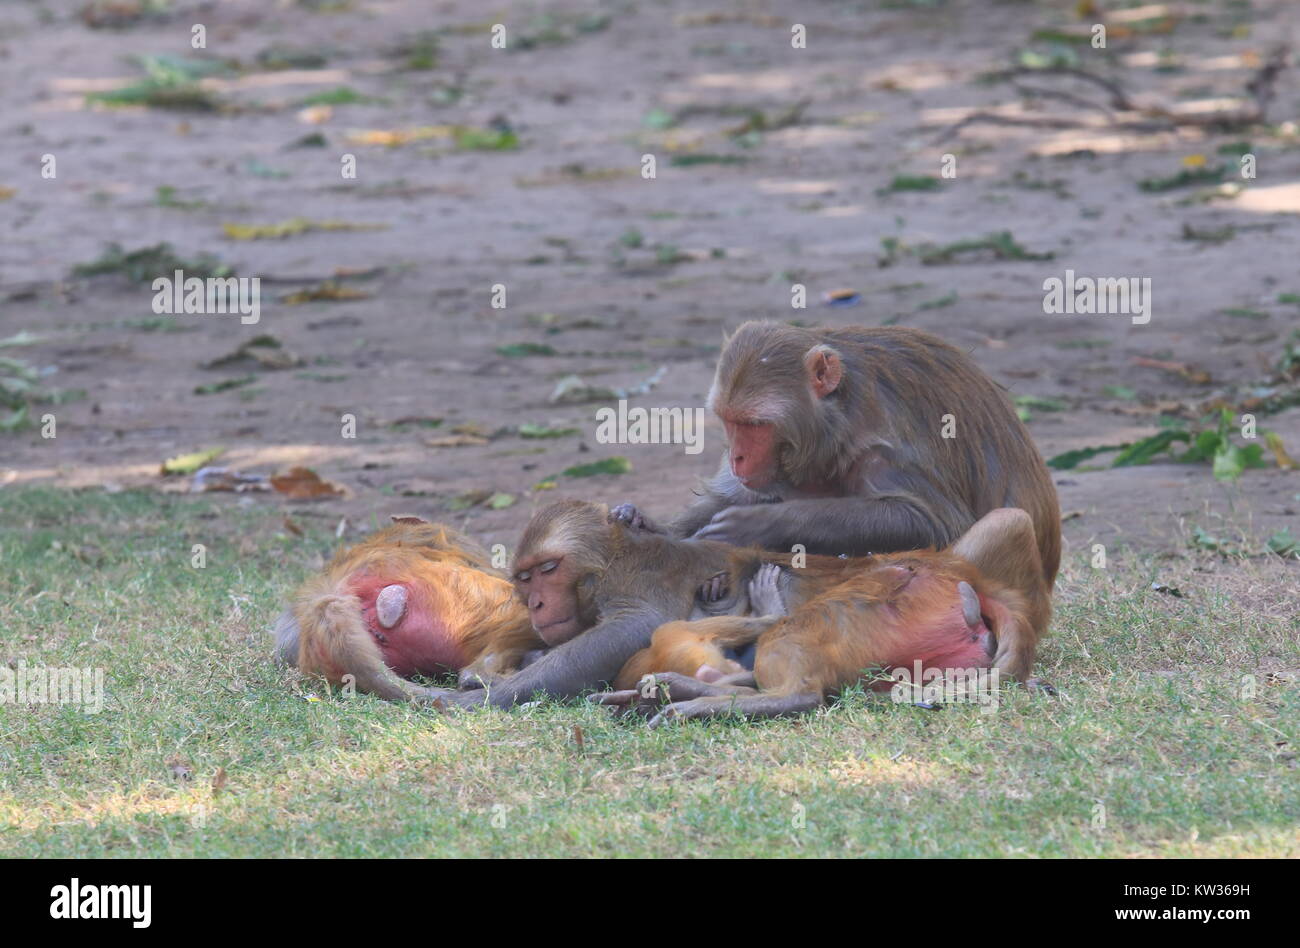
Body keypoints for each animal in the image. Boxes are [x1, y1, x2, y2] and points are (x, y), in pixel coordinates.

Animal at [611, 321, 1061, 587]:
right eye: (728, 420)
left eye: (755, 425)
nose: (736, 457)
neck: (836, 423)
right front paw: (644, 524)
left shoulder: (887, 449)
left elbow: (933, 522)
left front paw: (757, 525)